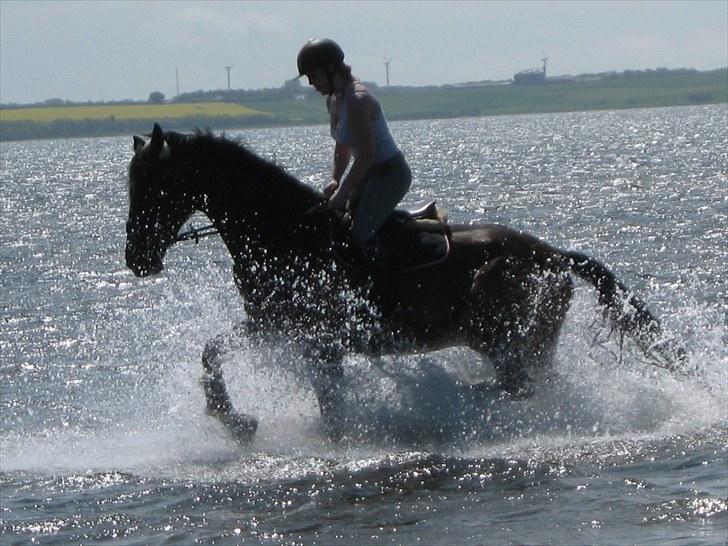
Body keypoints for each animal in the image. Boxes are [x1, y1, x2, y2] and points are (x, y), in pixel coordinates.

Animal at [126, 123, 684, 442]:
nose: (136, 259)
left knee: (514, 387)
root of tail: (555, 256)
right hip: (527, 341)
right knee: (537, 391)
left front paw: (240, 421)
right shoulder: (278, 328)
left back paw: (442, 407)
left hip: (501, 334)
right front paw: (237, 422)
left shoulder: (316, 341)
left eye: (153, 186)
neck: (284, 231)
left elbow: (329, 406)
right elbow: (213, 353)